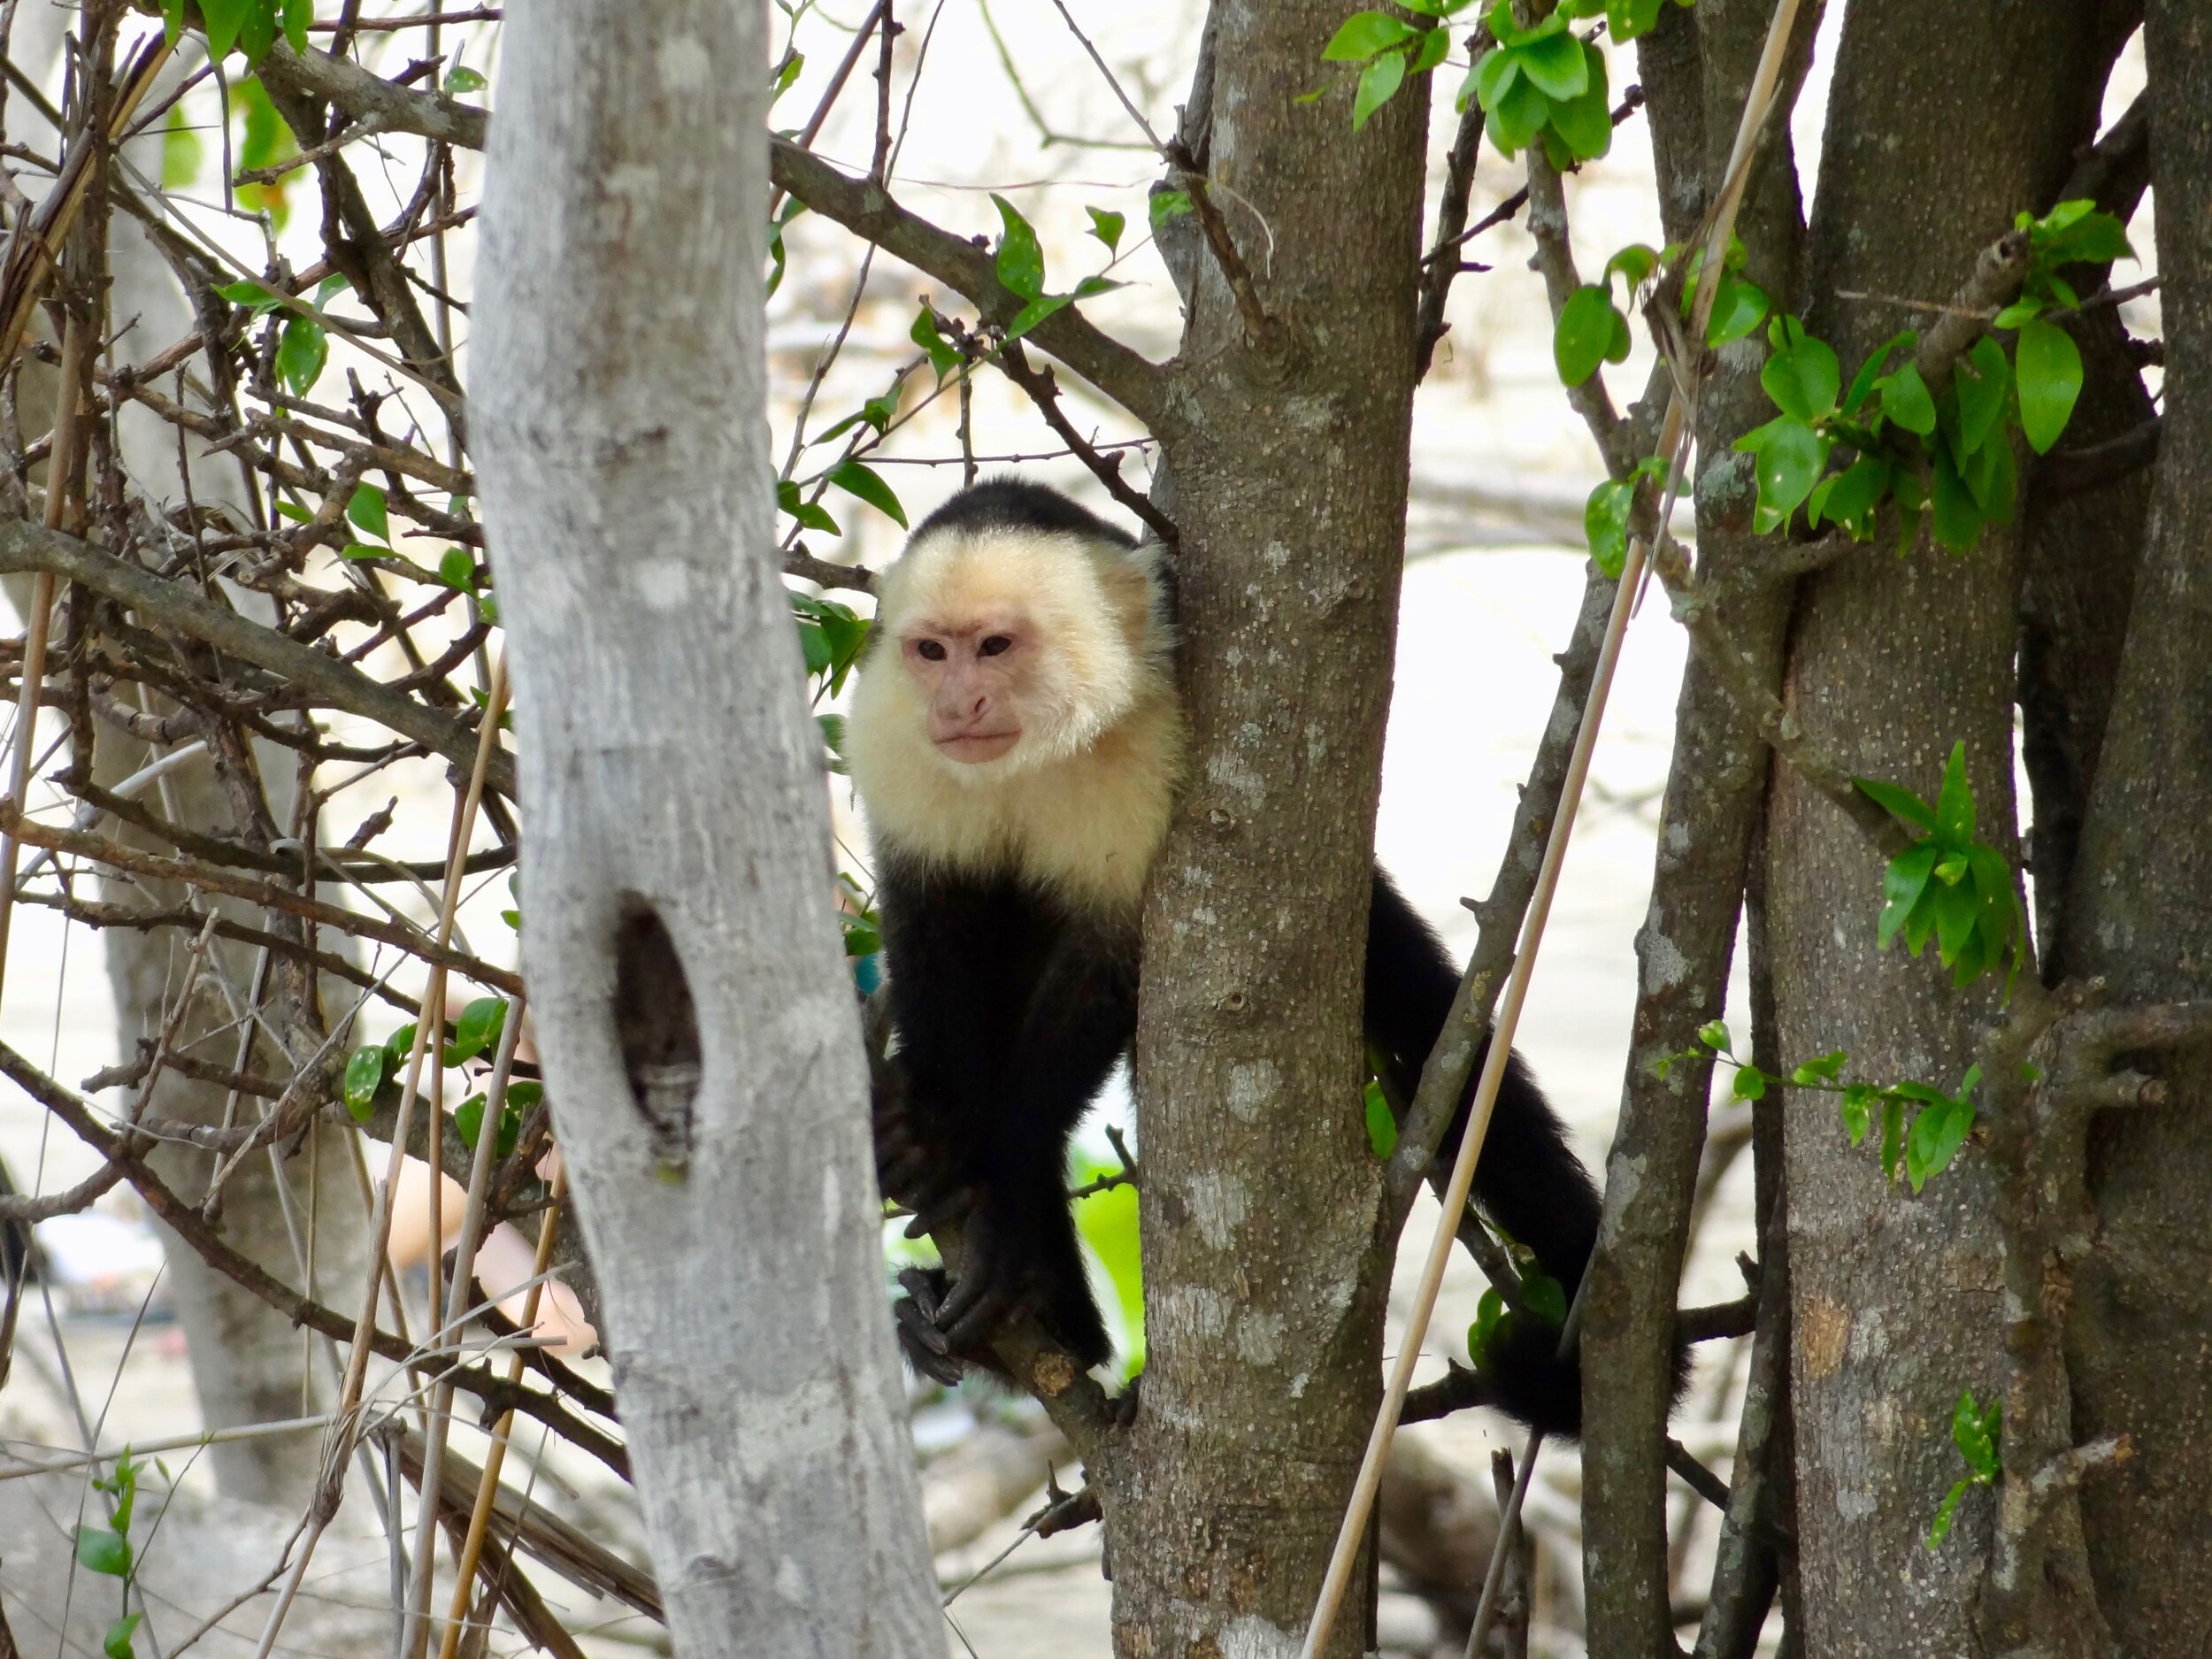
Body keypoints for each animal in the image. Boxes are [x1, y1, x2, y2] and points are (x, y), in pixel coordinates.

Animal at [845, 480, 1628, 1442]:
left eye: (994, 647)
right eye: (931, 651)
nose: (957, 704)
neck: (1030, 758)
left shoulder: (1152, 740)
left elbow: (1113, 962)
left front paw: (1005, 1205)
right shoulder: (890, 735)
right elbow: (930, 923)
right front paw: (928, 1123)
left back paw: (1040, 1307)